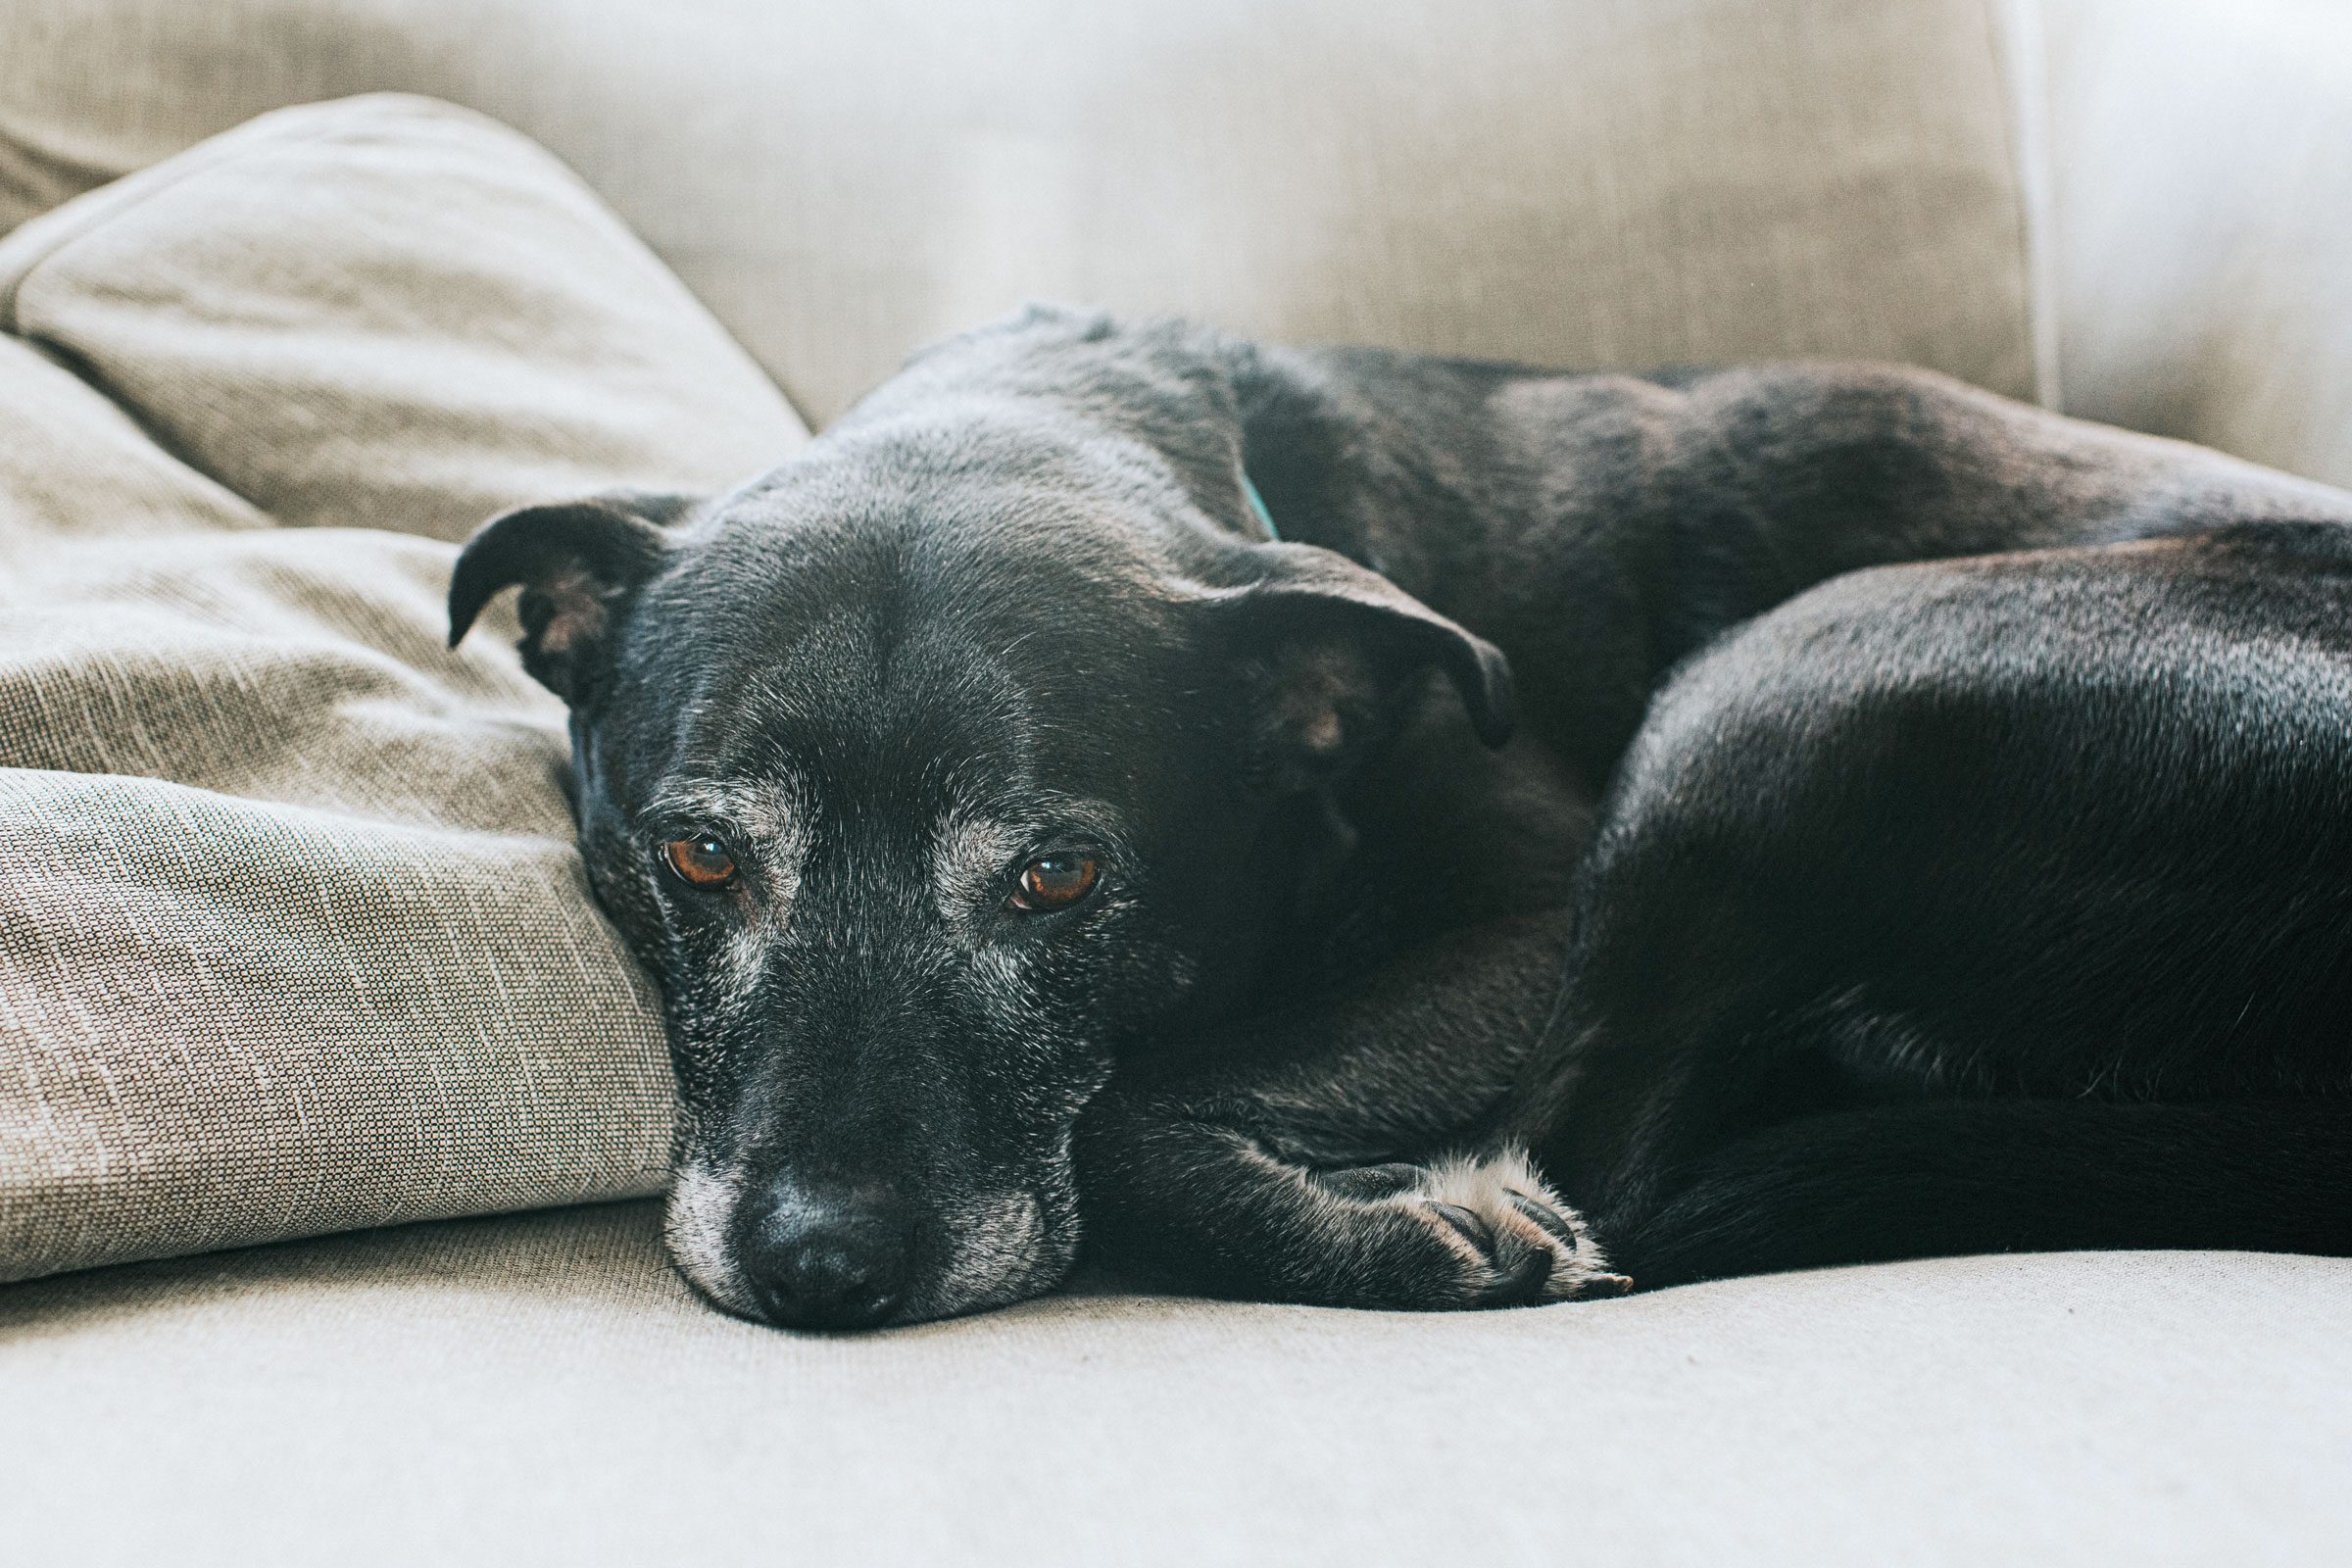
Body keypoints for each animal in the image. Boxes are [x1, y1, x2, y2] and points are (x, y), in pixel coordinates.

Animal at [449, 305, 2352, 1325]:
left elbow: (1133, 1107)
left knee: (1606, 1172)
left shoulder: (1524, 923)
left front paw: (1375, 1225)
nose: (822, 1268)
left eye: (1058, 879)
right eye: (700, 855)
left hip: (1790, 678)